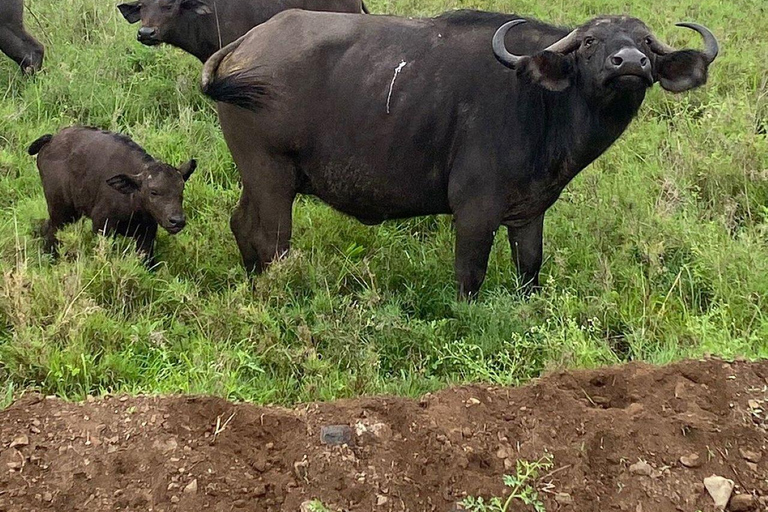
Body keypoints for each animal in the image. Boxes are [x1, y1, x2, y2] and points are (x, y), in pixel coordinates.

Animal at [29, 127, 198, 268]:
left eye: (181, 190)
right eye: (154, 191)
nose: (177, 221)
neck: (133, 199)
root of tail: (51, 139)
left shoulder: (147, 233)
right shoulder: (102, 225)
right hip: (61, 211)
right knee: (52, 232)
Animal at [202, 9, 720, 300]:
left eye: (647, 43)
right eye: (591, 41)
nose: (629, 62)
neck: (539, 101)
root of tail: (246, 43)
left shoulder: (529, 212)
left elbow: (529, 269)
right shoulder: (475, 211)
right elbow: (470, 276)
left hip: (257, 177)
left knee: (241, 224)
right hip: (271, 176)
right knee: (271, 241)